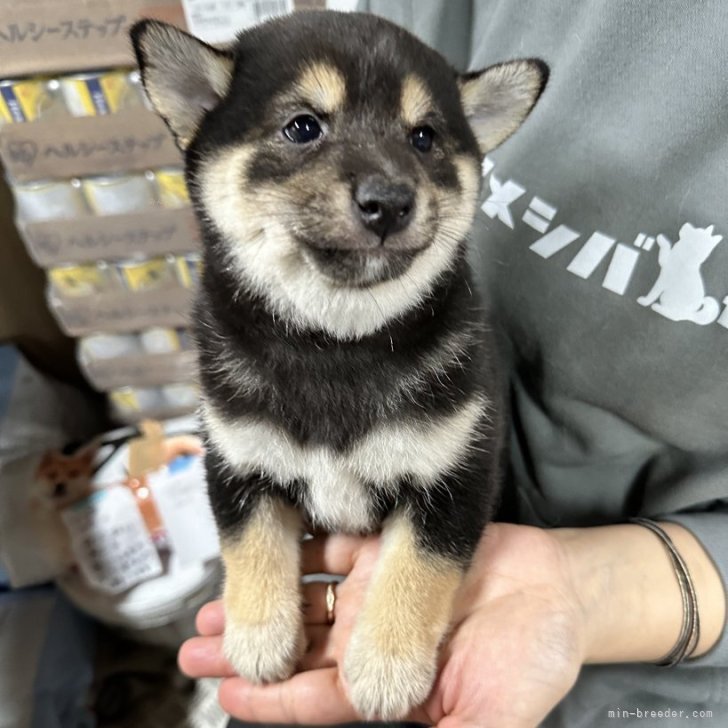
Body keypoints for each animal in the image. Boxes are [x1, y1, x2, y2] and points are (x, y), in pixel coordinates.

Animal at [131, 12, 544, 724]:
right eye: (303, 127)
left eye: (424, 137)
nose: (391, 200)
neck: (335, 344)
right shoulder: (237, 460)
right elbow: (251, 547)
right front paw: (257, 635)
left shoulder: (457, 474)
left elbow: (417, 571)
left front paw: (386, 666)